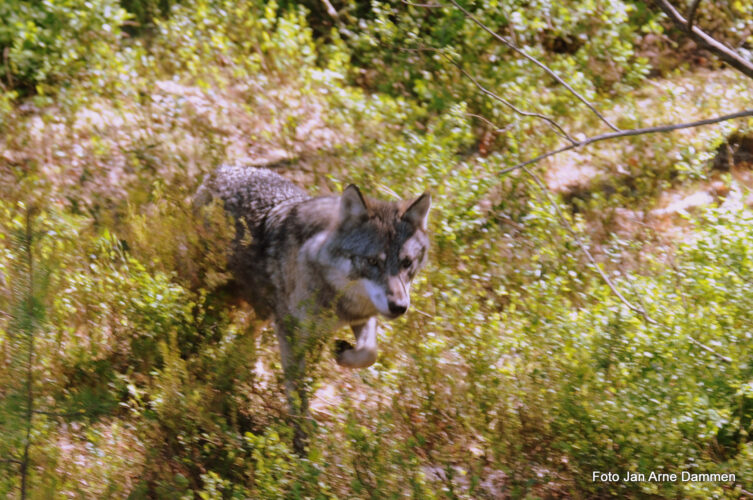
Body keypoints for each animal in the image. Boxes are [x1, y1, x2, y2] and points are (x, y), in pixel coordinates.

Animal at [200, 165, 428, 446]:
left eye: (407, 263)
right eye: (373, 261)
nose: (399, 307)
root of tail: (221, 169)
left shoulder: (361, 316)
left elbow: (369, 353)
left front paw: (343, 353)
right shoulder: (291, 333)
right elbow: (297, 390)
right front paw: (302, 440)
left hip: (264, 309)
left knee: (247, 334)